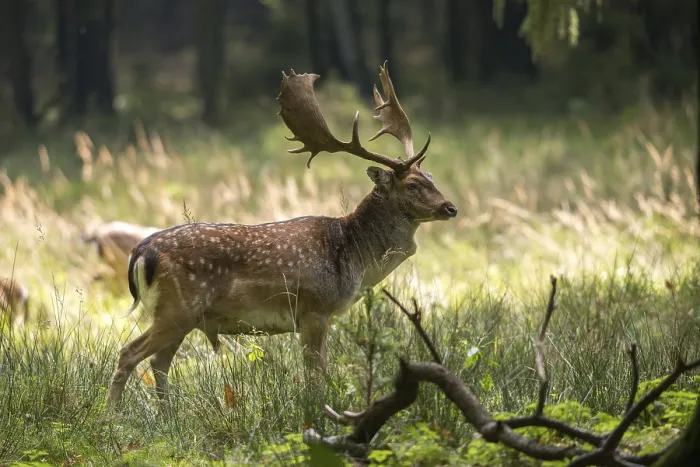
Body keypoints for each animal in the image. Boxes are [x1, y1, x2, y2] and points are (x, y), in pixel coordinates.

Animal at [105, 62, 458, 408]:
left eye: (430, 176)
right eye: (412, 185)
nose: (450, 207)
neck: (353, 257)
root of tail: (141, 252)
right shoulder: (314, 308)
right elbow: (316, 374)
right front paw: (317, 409)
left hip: (180, 316)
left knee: (158, 362)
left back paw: (167, 415)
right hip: (177, 308)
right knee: (129, 353)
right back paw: (113, 415)